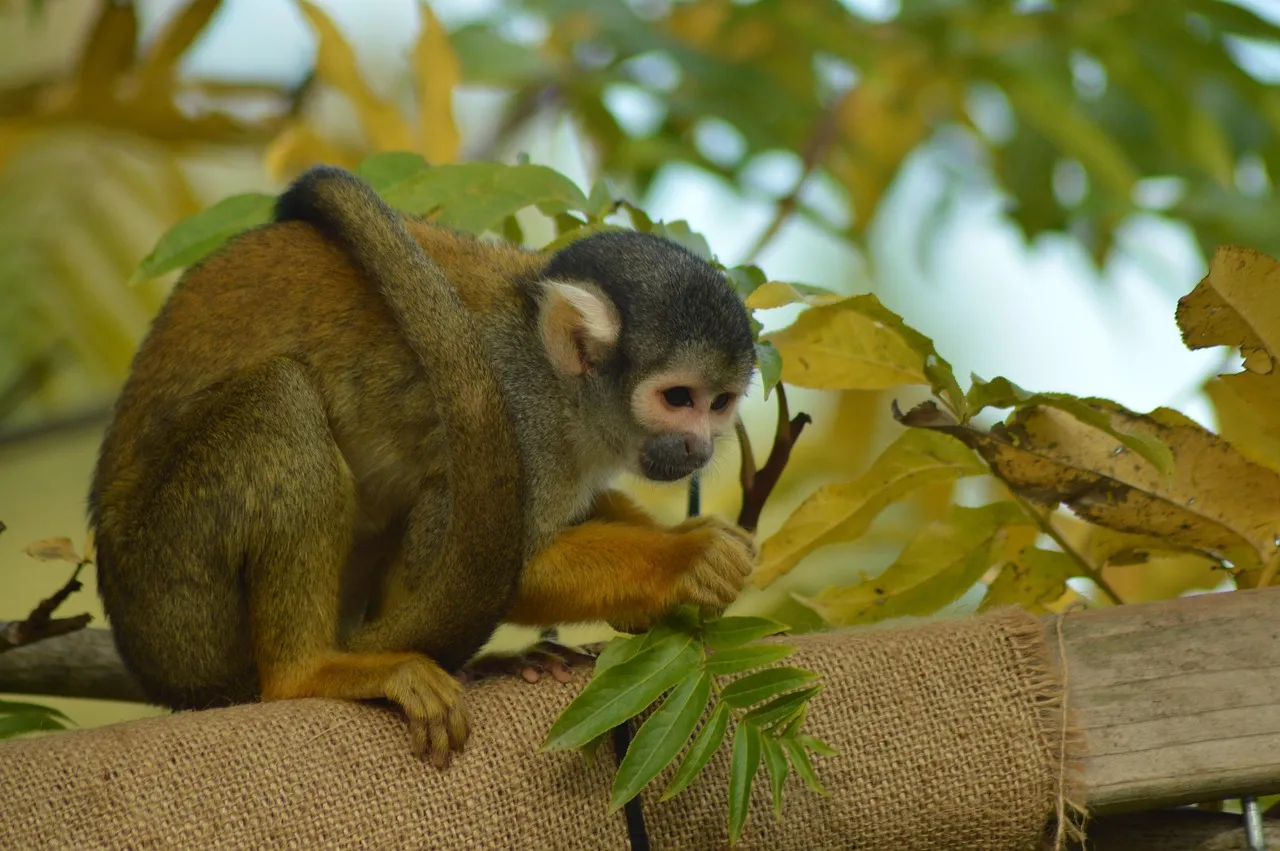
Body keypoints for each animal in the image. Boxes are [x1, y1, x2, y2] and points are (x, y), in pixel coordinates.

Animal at [89, 165, 758, 768]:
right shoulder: (521, 419)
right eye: (678, 398)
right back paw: (309, 672)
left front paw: (694, 536)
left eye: (721, 403)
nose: (700, 448)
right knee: (280, 401)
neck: (558, 381)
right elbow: (474, 564)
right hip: (174, 593)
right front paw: (685, 559)